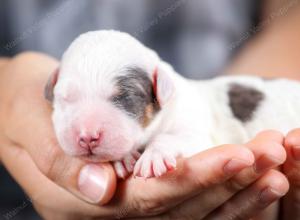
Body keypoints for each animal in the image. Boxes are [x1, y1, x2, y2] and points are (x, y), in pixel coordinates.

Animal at [44, 30, 300, 179]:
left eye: (124, 98)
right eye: (64, 98)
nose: (87, 137)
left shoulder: (197, 131)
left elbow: (175, 137)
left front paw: (153, 156)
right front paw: (122, 158)